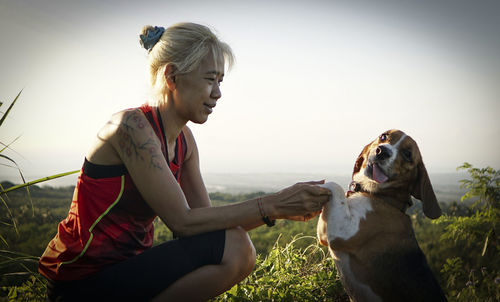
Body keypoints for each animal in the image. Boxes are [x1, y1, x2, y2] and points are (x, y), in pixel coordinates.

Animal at [318, 130, 448, 302]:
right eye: (383, 136)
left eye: (407, 154)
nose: (382, 151)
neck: (382, 197)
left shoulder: (342, 232)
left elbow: (334, 184)